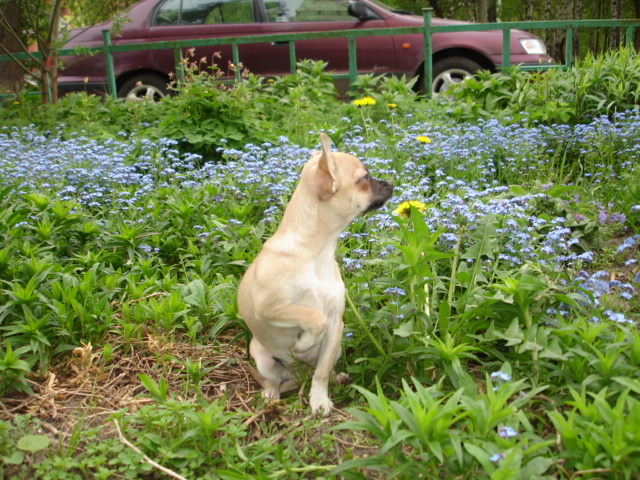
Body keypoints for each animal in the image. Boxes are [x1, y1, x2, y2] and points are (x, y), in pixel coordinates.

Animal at [237, 133, 393, 415]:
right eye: (365, 177)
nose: (390, 184)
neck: (313, 253)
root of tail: (296, 373)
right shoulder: (271, 307)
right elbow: (312, 316)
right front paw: (303, 342)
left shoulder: (335, 328)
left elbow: (321, 372)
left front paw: (319, 400)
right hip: (261, 355)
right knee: (271, 379)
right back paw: (270, 394)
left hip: (337, 349)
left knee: (319, 371)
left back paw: (335, 377)